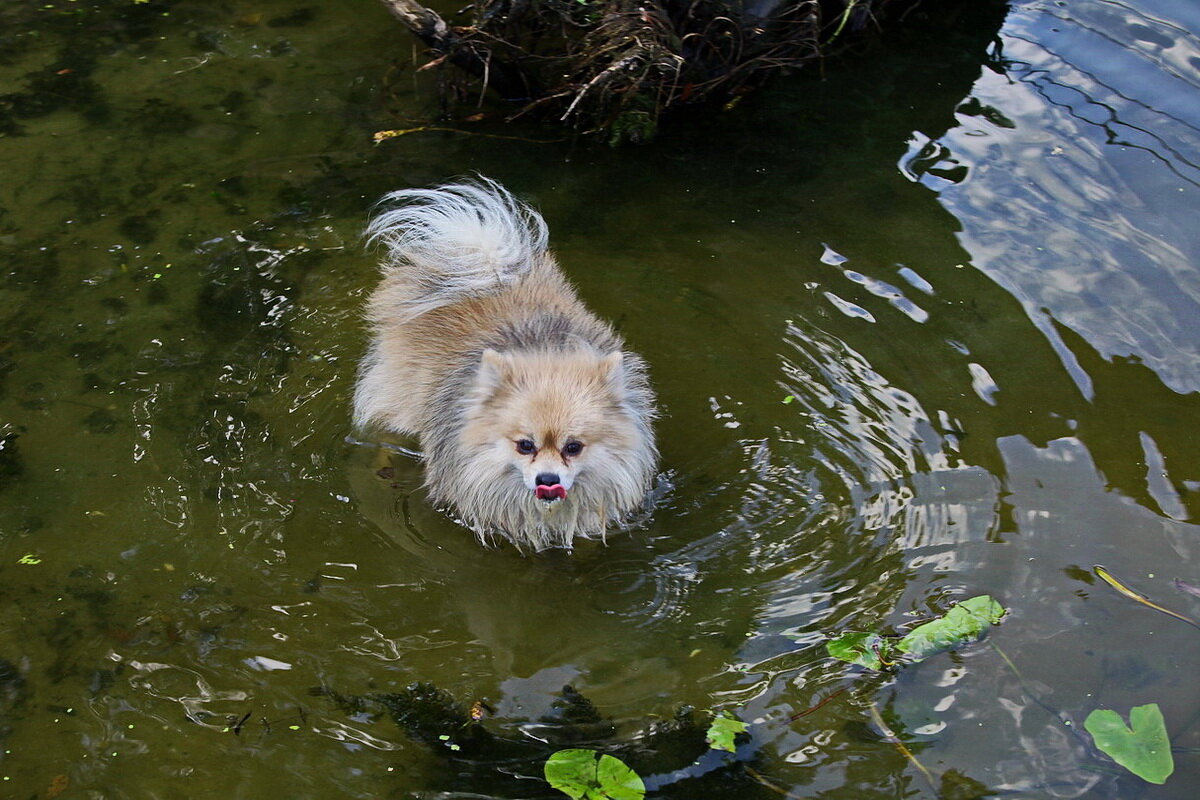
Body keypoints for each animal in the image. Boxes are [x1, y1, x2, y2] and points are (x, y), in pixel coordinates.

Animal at [350, 178, 662, 551]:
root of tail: (481, 260)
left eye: (573, 447)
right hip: (400, 403)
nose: (547, 478)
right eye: (525, 445)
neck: (545, 351)